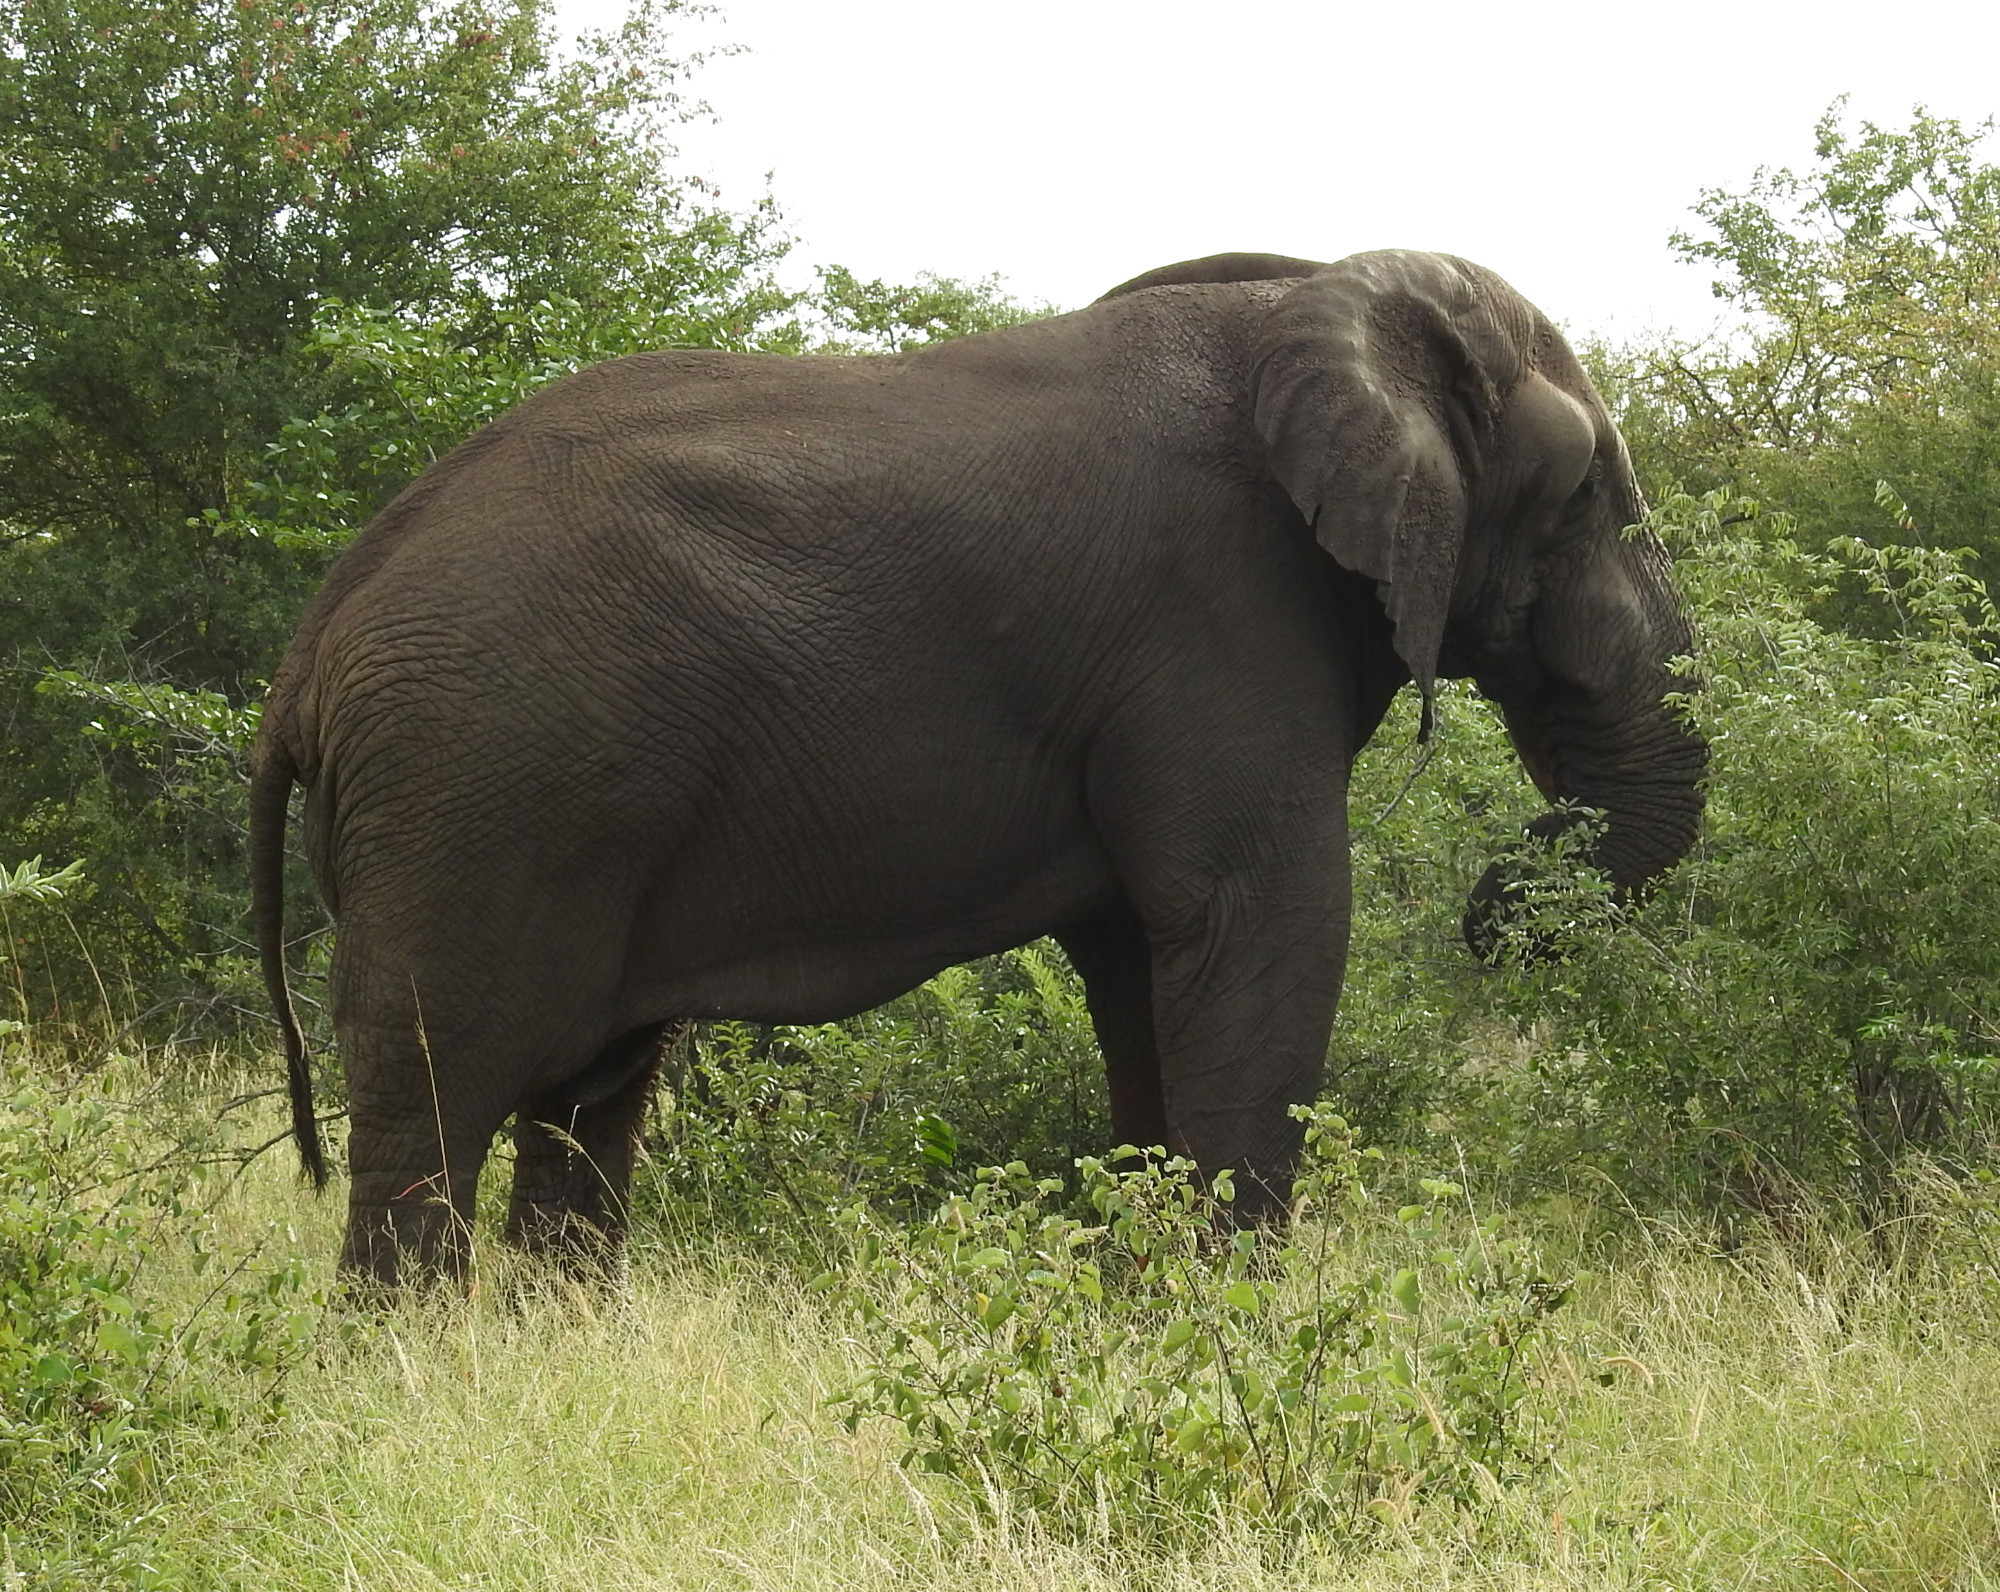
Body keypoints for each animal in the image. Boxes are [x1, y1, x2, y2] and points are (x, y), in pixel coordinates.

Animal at [254, 252, 1704, 1296]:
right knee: (437, 1098)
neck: (1319, 295)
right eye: (1581, 489)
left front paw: (1155, 1308)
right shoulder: (1219, 619)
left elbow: (1140, 961)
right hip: (476, 785)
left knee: (587, 1100)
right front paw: (1233, 1325)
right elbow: (1257, 922)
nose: (1493, 908)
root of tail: (312, 642)